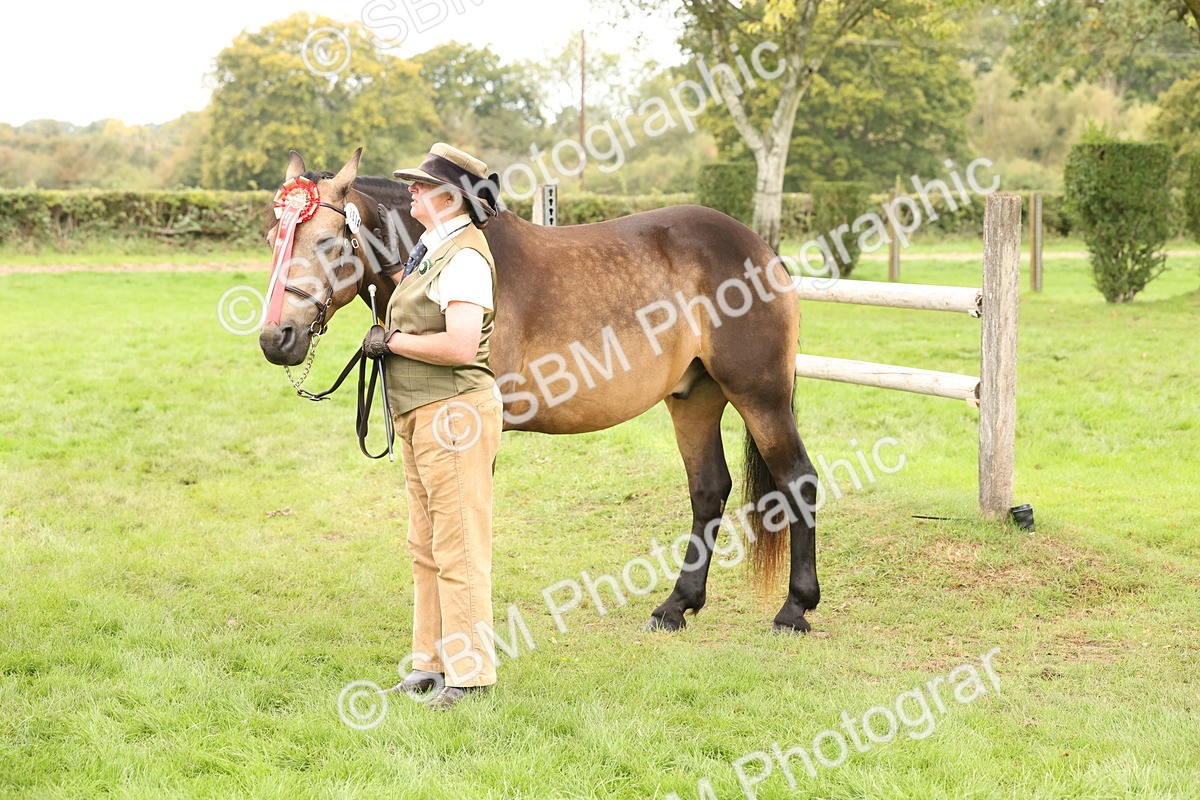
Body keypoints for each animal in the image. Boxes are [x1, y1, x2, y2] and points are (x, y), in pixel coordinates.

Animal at [257, 149, 821, 633]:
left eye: (328, 242)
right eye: (272, 240)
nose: (275, 338)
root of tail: (760, 247)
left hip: (760, 396)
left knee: (799, 479)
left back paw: (795, 609)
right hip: (694, 398)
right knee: (708, 489)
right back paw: (676, 606)